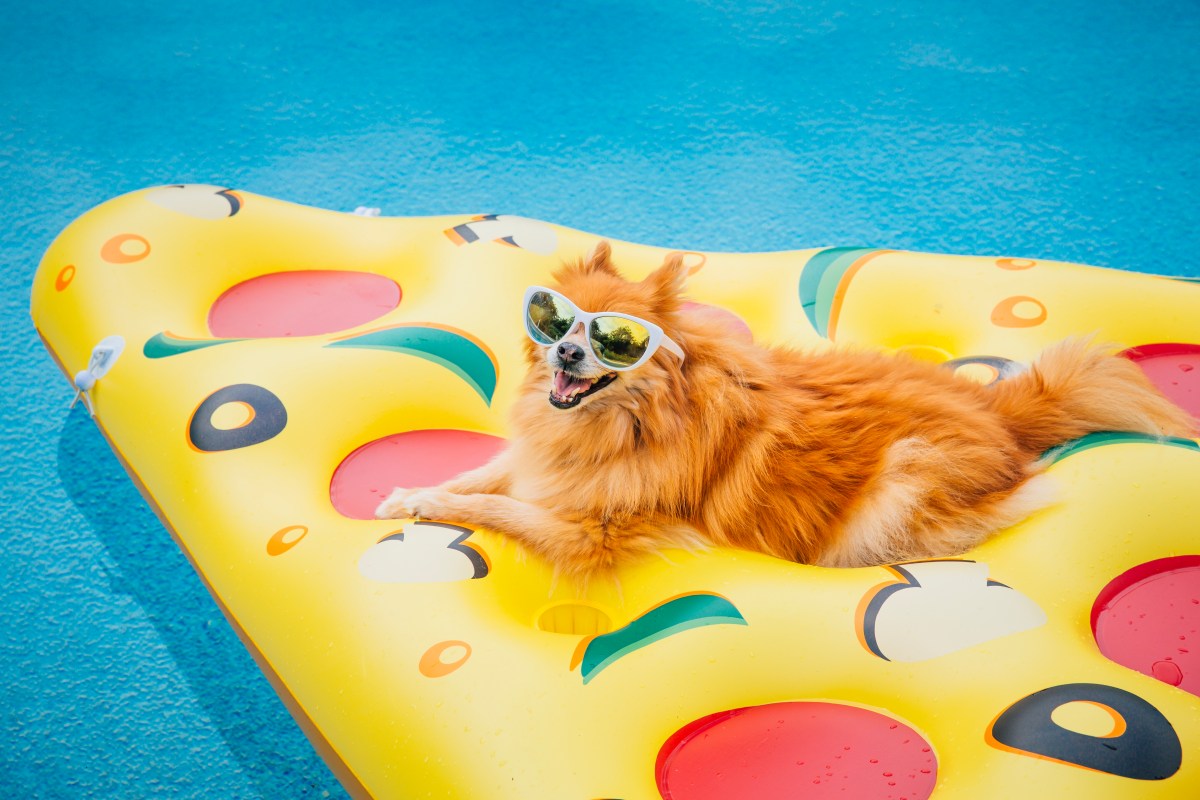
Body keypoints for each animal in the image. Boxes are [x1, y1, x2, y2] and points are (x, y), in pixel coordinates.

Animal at [372, 241, 1190, 578]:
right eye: (555, 322)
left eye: (617, 343)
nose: (568, 353)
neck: (624, 424)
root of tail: (999, 412)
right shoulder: (543, 463)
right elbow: (483, 475)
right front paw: (413, 493)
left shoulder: (600, 532)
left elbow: (498, 508)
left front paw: (437, 505)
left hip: (903, 479)